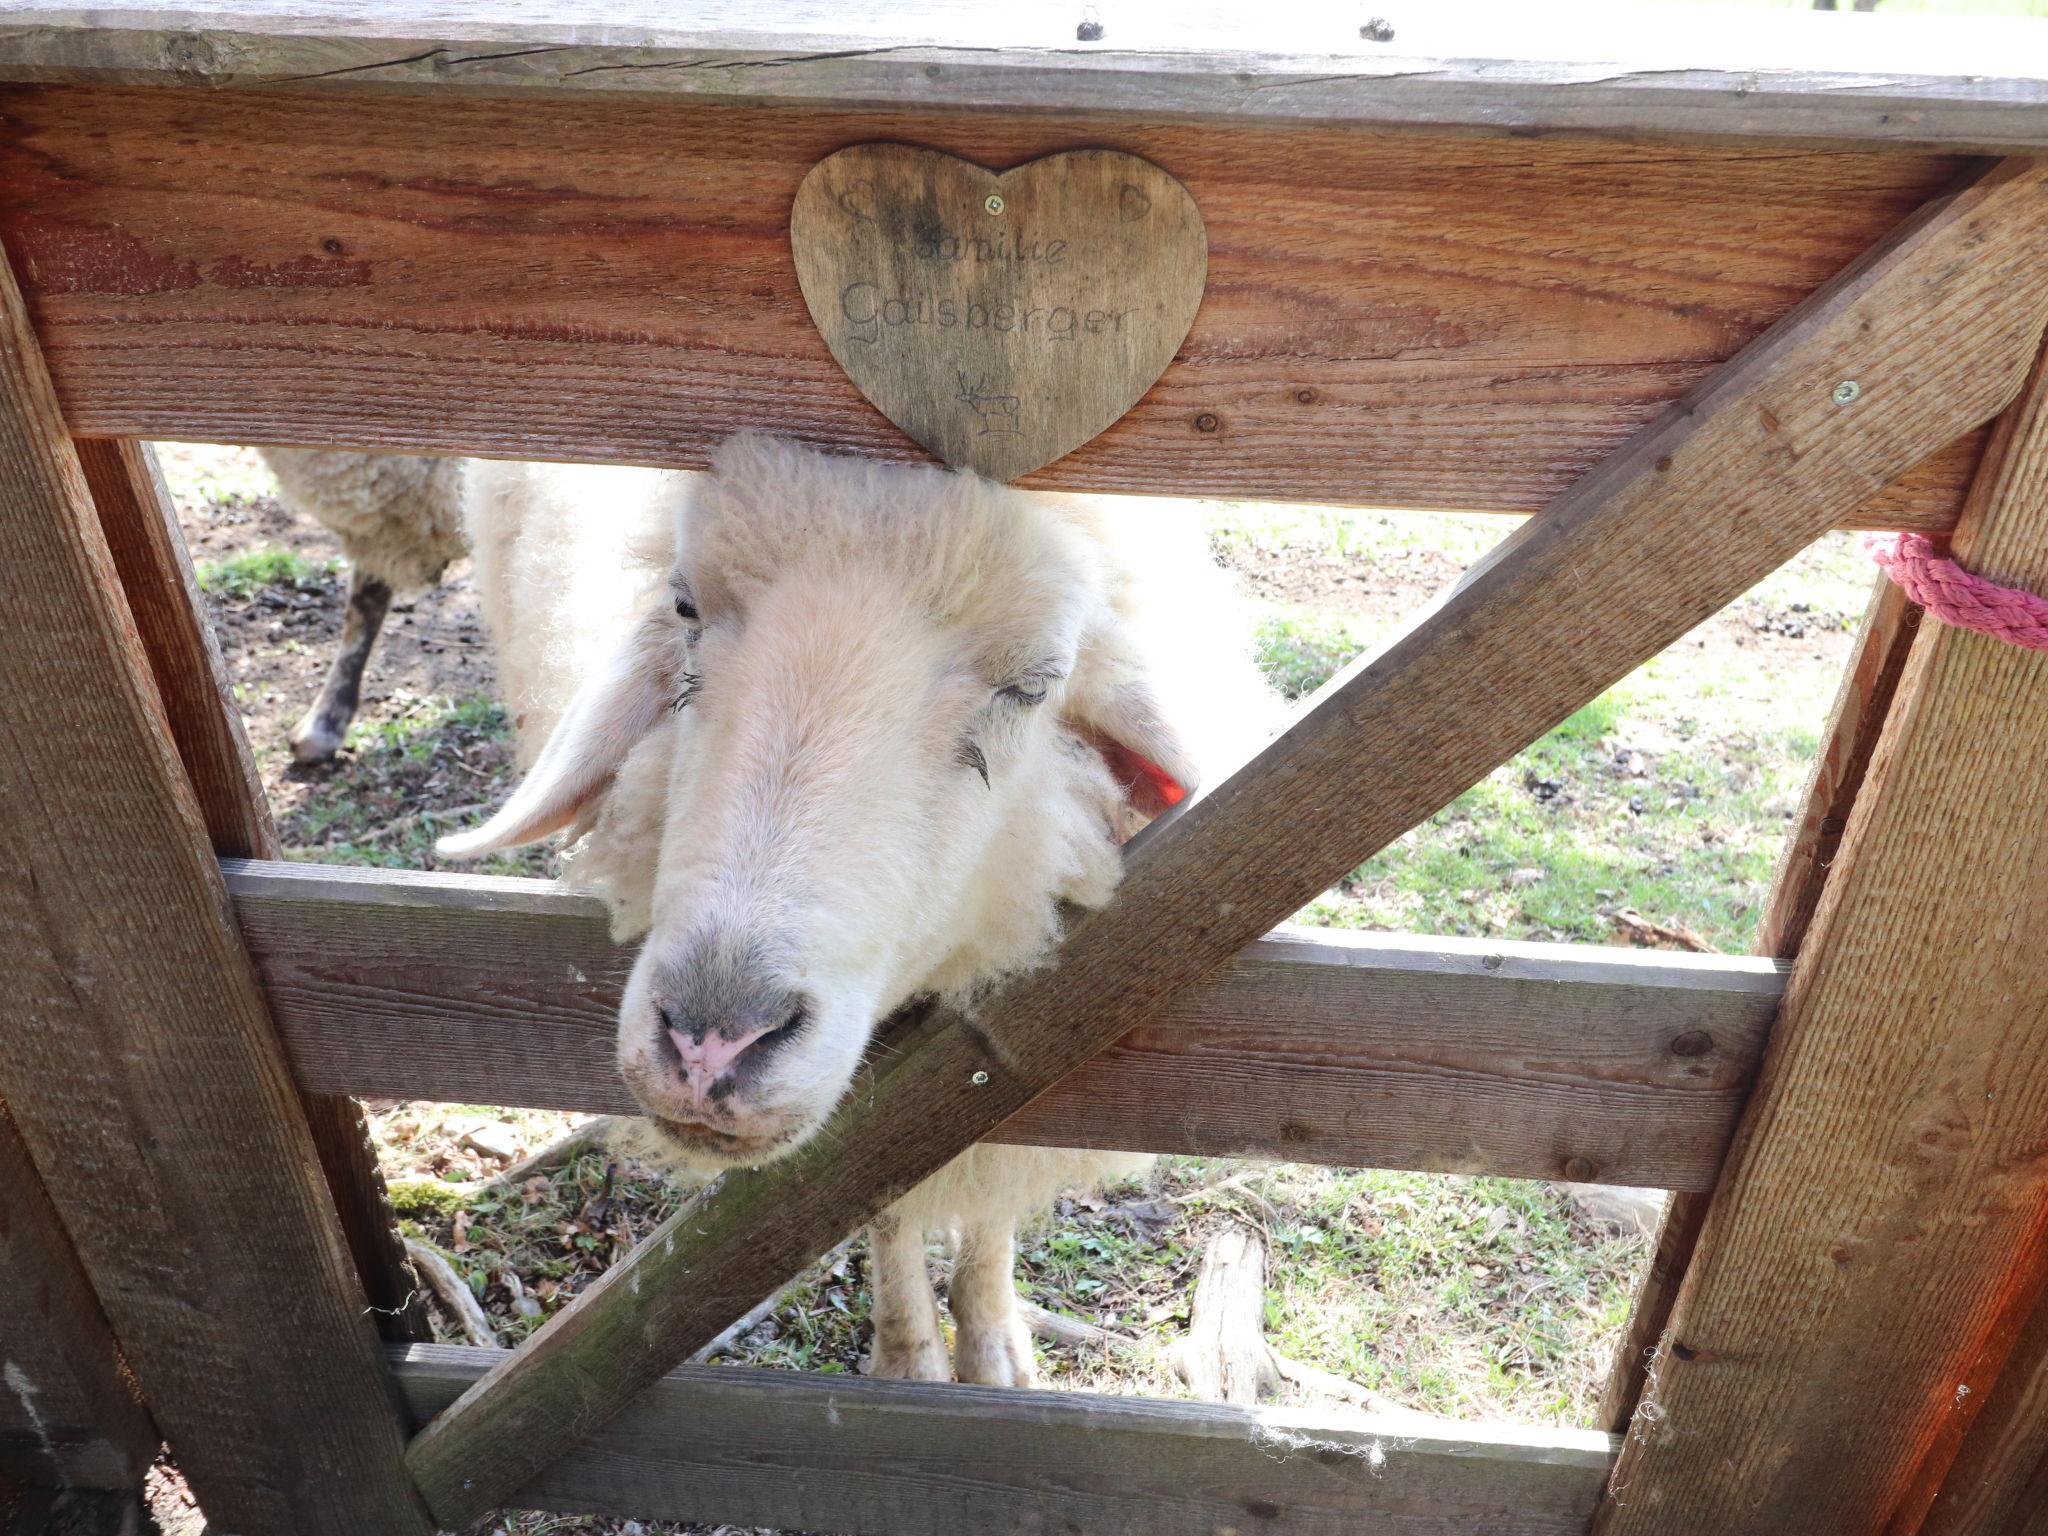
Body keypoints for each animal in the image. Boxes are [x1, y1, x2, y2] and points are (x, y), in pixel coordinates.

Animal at [442, 438, 1277, 1392]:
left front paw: (993, 1346)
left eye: (1034, 686)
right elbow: (882, 1205)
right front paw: (911, 1360)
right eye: (684, 605)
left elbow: (988, 1208)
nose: (709, 1043)